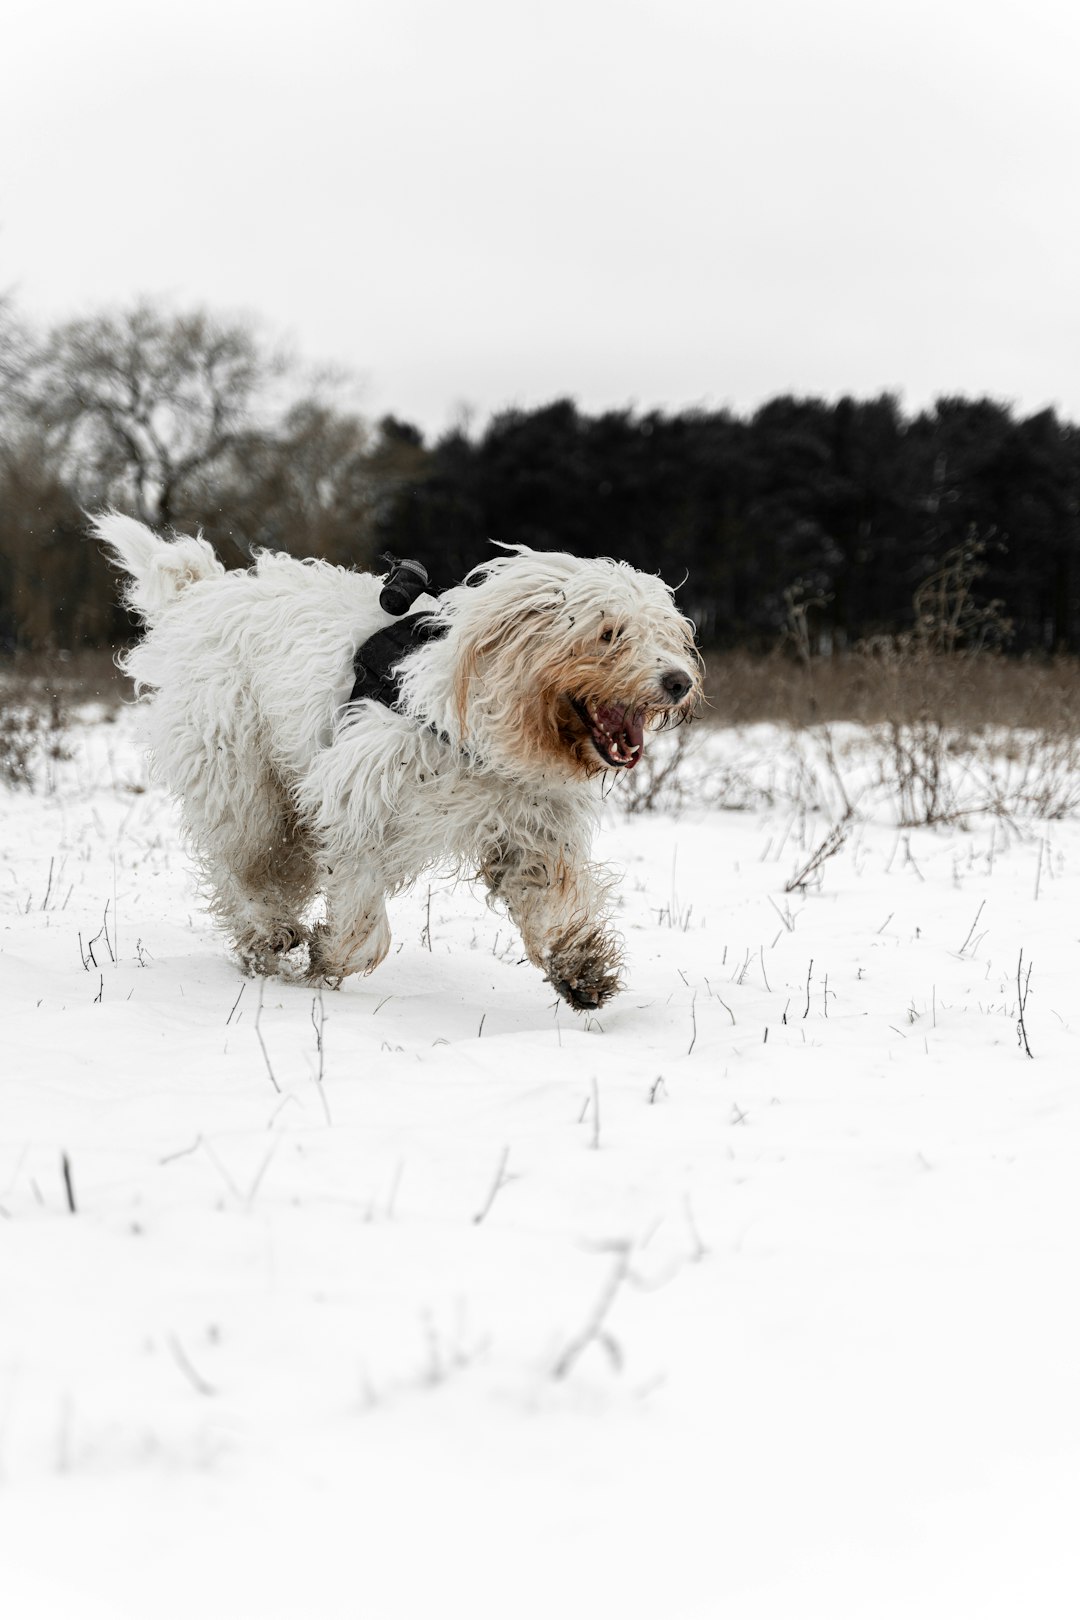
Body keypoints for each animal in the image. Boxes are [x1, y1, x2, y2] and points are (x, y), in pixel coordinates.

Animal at [97, 511, 705, 1004]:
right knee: (246, 862)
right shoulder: (357, 798)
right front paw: (331, 956)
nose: (680, 682)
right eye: (609, 634)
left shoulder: (530, 827)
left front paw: (580, 967)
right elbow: (361, 912)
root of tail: (200, 598)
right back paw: (265, 931)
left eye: (668, 634)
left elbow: (549, 893)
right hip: (241, 782)